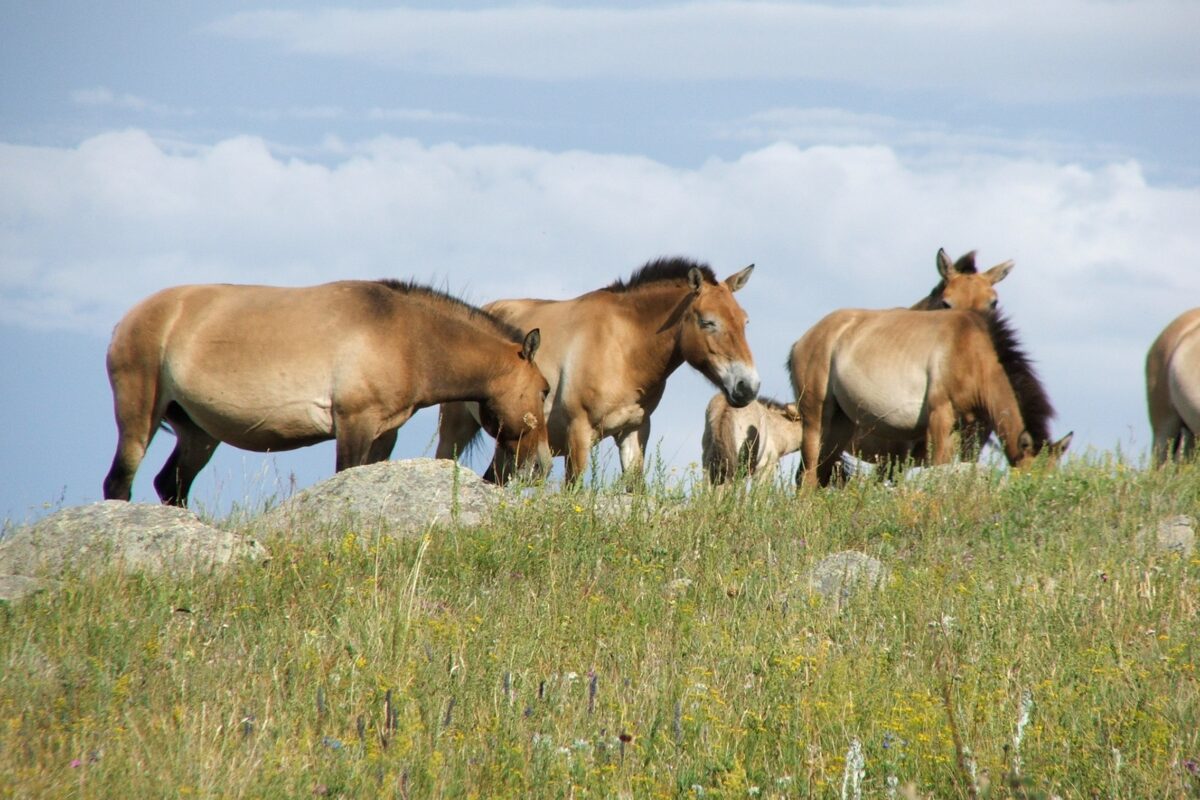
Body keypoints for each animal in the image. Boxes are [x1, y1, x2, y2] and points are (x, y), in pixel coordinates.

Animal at [103, 279, 552, 507]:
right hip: (139, 415)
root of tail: (128, 319)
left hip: (199, 433)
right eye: (546, 390)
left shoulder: (383, 433)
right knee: (119, 483)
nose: (542, 464)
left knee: (172, 486)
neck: (408, 336)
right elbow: (345, 478)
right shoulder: (354, 422)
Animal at [436, 257, 760, 483]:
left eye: (745, 321)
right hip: (457, 429)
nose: (748, 387)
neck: (623, 348)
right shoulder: (578, 433)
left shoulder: (634, 432)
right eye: (708, 322)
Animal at [788, 308, 1072, 487]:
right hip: (815, 418)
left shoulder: (966, 429)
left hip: (841, 425)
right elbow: (939, 466)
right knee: (808, 474)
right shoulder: (940, 416)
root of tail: (802, 341)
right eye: (1031, 477)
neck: (971, 353)